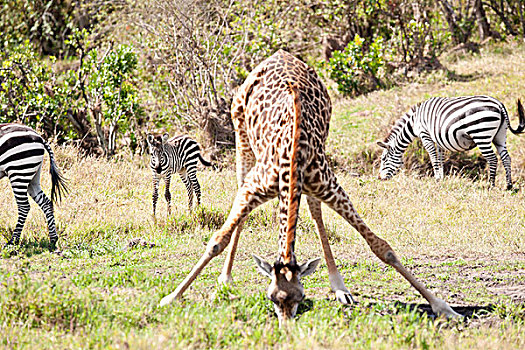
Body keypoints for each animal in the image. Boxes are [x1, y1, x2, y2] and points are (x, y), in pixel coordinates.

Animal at [160, 50, 458, 326]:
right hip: (241, 141)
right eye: (271, 298)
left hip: (317, 167)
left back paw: (339, 287)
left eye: (300, 297)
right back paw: (225, 278)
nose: (286, 327)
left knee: (315, 212)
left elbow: (382, 247)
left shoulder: (329, 186)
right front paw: (172, 297)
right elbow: (216, 241)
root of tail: (279, 53)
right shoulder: (253, 188)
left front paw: (442, 306)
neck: (292, 159)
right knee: (242, 207)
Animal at [376, 95, 524, 189]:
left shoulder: (425, 135)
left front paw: (436, 179)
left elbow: (433, 158)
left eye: (384, 159)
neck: (414, 122)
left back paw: (490, 185)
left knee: (492, 159)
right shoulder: (438, 139)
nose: (379, 178)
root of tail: (499, 104)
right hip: (500, 136)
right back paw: (509, 185)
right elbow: (440, 159)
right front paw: (441, 178)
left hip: (481, 134)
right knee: (506, 158)